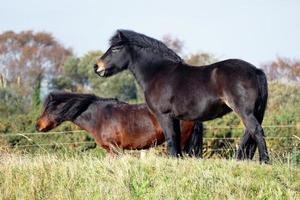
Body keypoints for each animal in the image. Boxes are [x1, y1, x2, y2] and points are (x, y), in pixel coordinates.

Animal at [94, 29, 270, 162]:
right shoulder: (176, 118)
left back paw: (265, 161)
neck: (158, 73)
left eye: (116, 49)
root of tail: (255, 70)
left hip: (244, 111)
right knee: (249, 134)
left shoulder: (164, 115)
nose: (96, 67)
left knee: (256, 131)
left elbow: (171, 140)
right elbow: (176, 141)